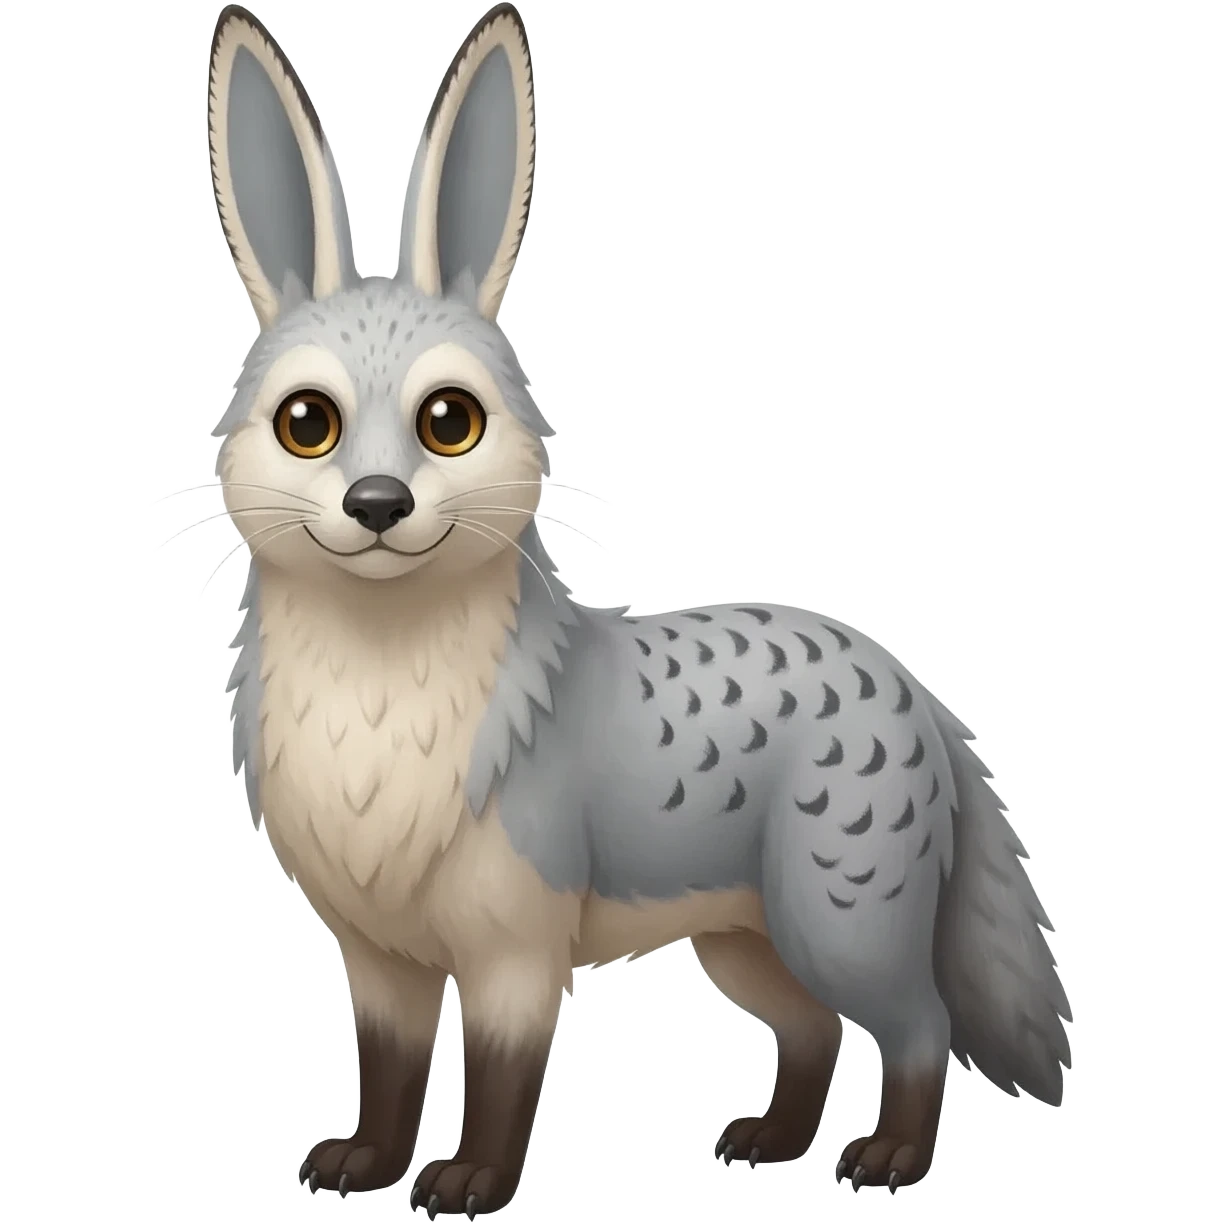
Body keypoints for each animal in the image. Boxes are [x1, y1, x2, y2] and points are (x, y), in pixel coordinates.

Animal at [193, 2, 1074, 1213]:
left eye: (448, 421)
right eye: (307, 423)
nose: (377, 503)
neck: (379, 745)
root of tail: (907, 679)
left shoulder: (515, 946)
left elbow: (500, 1078)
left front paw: (470, 1180)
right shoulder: (380, 957)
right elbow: (389, 1072)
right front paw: (366, 1163)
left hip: (838, 923)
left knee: (918, 1028)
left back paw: (889, 1158)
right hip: (746, 942)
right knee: (811, 1034)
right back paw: (772, 1140)